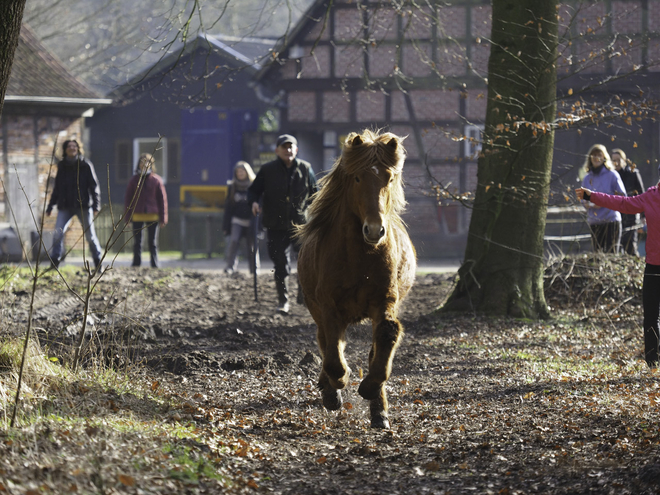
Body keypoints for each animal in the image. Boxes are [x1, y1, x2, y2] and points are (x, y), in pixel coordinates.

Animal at [296, 130, 416, 428]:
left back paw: (378, 411)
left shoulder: (384, 300)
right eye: (358, 178)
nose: (374, 230)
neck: (361, 256)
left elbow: (386, 335)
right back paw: (330, 390)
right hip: (318, 307)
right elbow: (333, 353)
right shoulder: (328, 305)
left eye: (389, 178)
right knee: (326, 341)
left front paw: (372, 391)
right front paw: (337, 385)